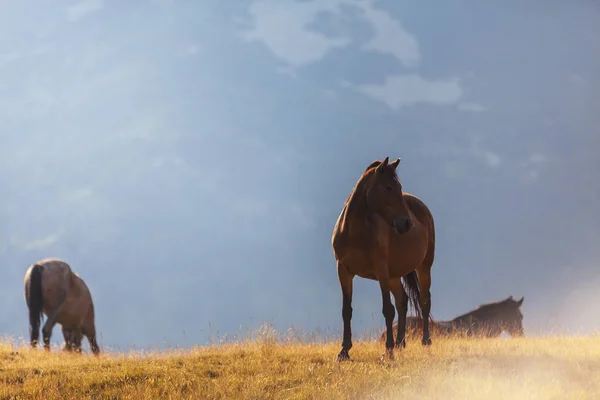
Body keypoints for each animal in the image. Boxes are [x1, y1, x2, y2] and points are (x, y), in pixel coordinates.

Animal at [332, 157, 436, 362]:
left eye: (399, 187)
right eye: (388, 187)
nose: (406, 223)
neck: (355, 233)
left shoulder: (381, 271)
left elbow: (387, 309)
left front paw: (388, 350)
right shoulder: (343, 270)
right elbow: (346, 310)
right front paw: (344, 351)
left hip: (424, 267)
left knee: (424, 300)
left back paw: (425, 341)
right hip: (394, 275)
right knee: (403, 300)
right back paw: (401, 343)